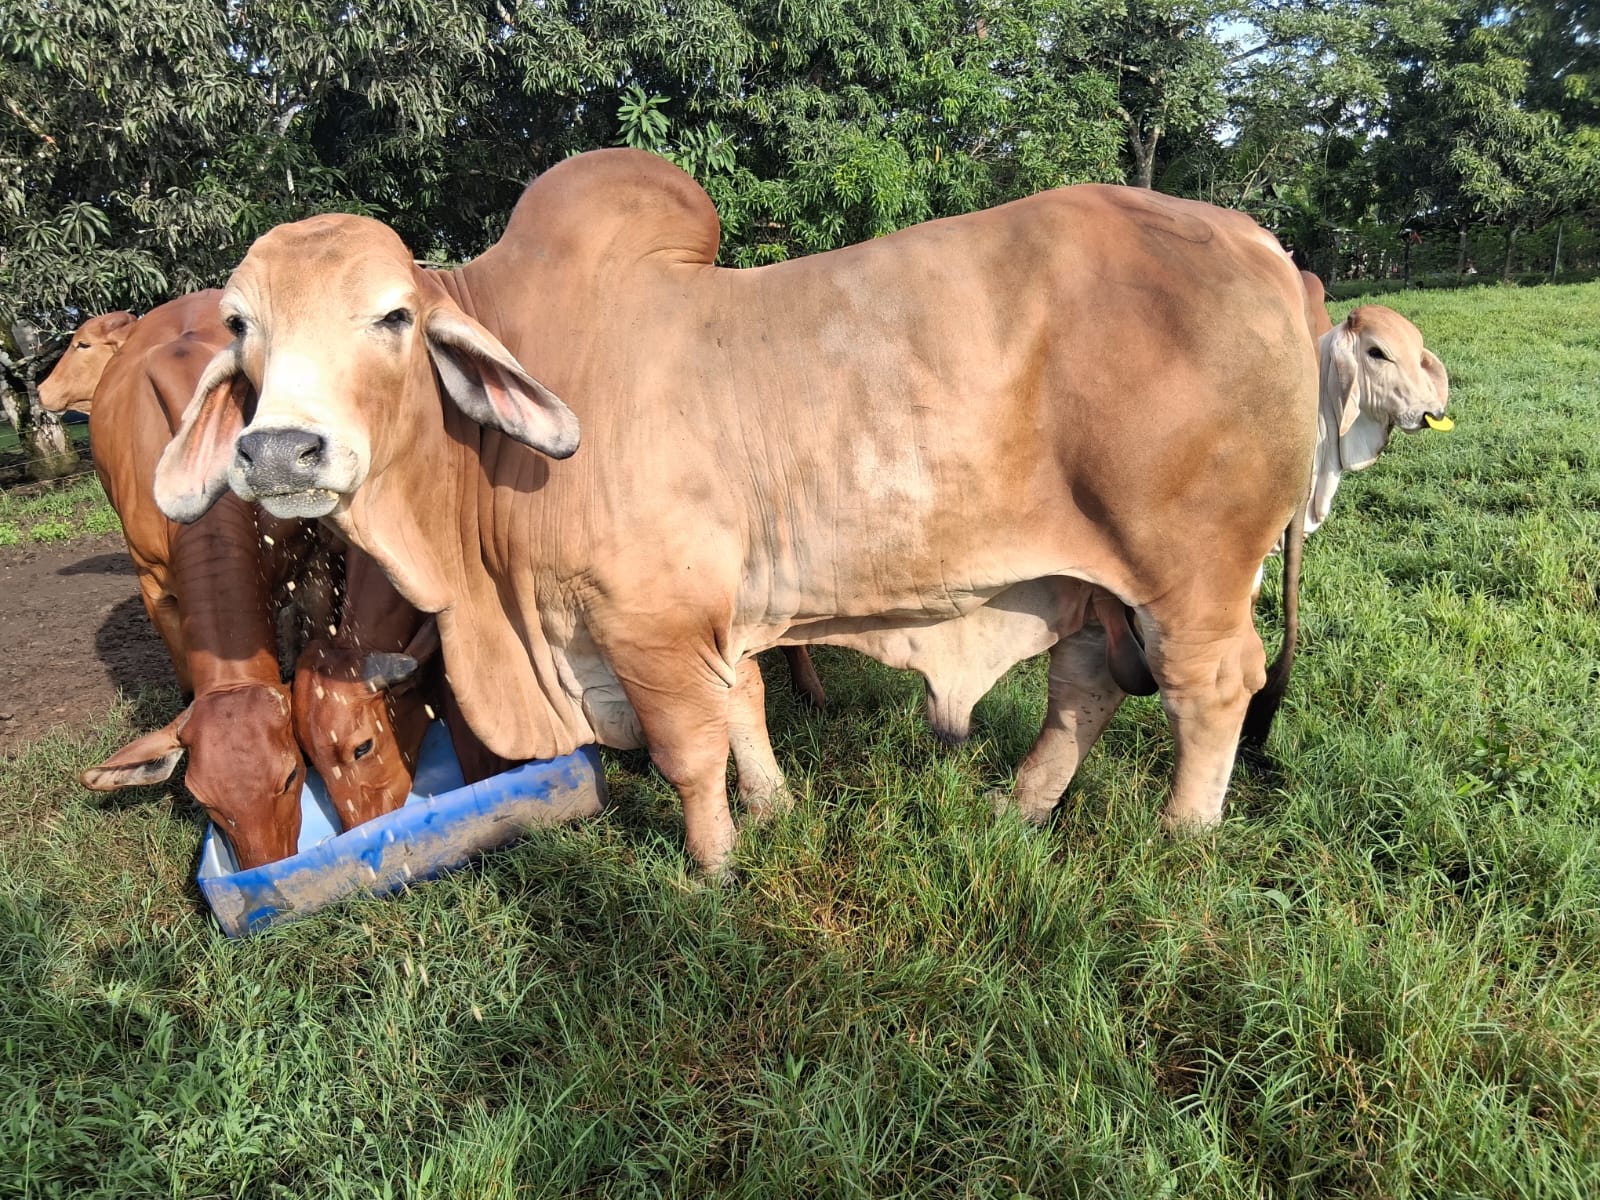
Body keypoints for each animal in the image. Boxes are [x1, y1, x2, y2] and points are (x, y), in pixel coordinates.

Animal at [156, 149, 1328, 876]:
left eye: (393, 317)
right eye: (241, 325)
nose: (279, 448)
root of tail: (1262, 244)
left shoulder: (647, 625)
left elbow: (688, 749)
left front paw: (713, 865)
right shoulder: (710, 621)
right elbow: (748, 709)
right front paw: (774, 807)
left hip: (1190, 573)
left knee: (1212, 687)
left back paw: (1183, 834)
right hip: (1094, 583)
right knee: (1083, 685)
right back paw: (1021, 803)